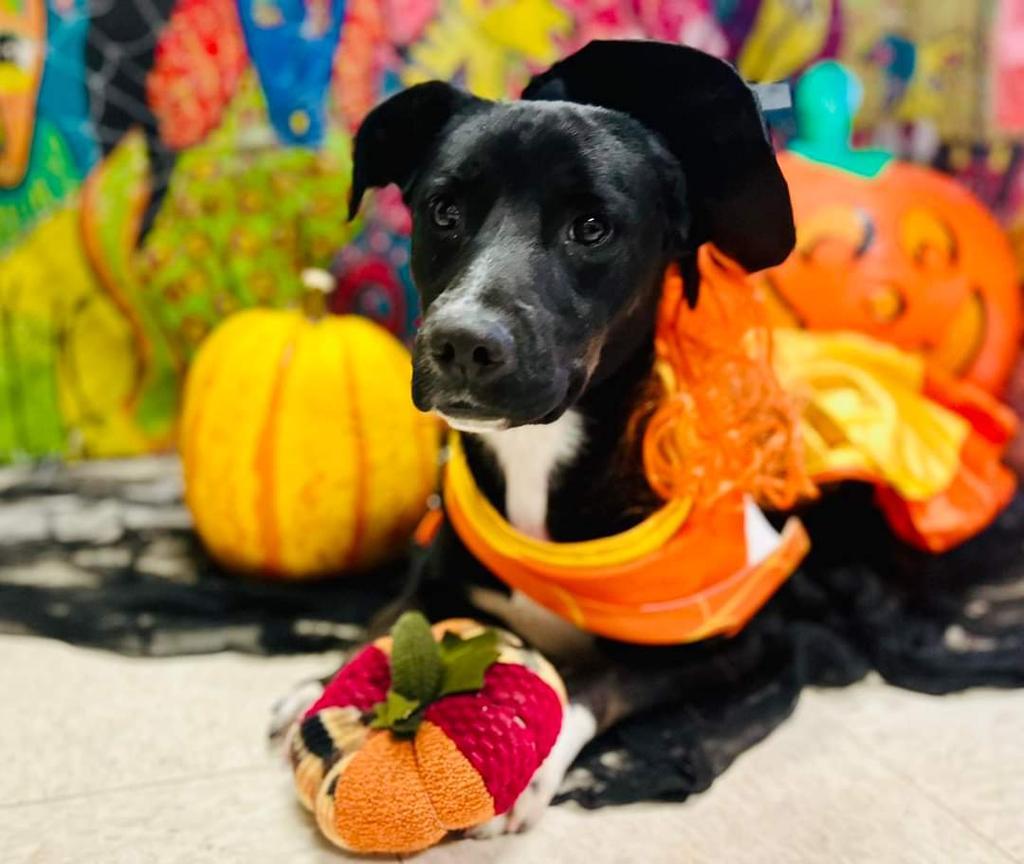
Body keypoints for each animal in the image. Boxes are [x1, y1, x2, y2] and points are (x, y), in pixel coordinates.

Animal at [276, 40, 794, 835]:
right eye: (444, 210)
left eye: (592, 226)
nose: (461, 343)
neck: (536, 453)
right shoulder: (437, 577)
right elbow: (392, 617)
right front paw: (319, 681)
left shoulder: (731, 636)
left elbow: (595, 677)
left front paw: (535, 768)